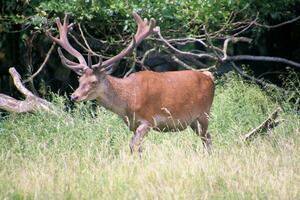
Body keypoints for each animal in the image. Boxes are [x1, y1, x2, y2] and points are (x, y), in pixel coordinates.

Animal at [47, 12, 214, 153]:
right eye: (79, 79)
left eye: (94, 81)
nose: (74, 96)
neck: (127, 101)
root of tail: (209, 76)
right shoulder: (133, 125)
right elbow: (136, 147)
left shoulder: (148, 120)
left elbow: (133, 145)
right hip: (193, 120)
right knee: (205, 137)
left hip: (204, 113)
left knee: (208, 138)